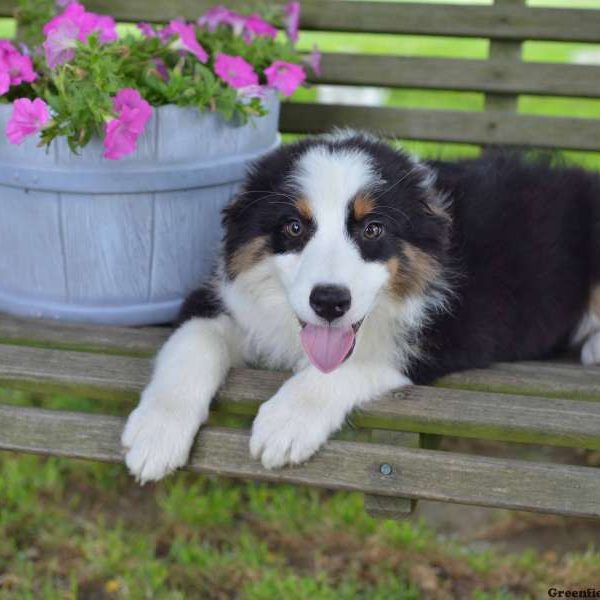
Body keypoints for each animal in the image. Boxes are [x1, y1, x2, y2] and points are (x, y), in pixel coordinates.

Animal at [122, 130, 600, 482]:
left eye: (372, 229)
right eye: (293, 227)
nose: (330, 302)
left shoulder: (451, 329)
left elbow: (353, 361)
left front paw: (286, 422)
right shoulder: (220, 297)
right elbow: (193, 343)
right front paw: (155, 433)